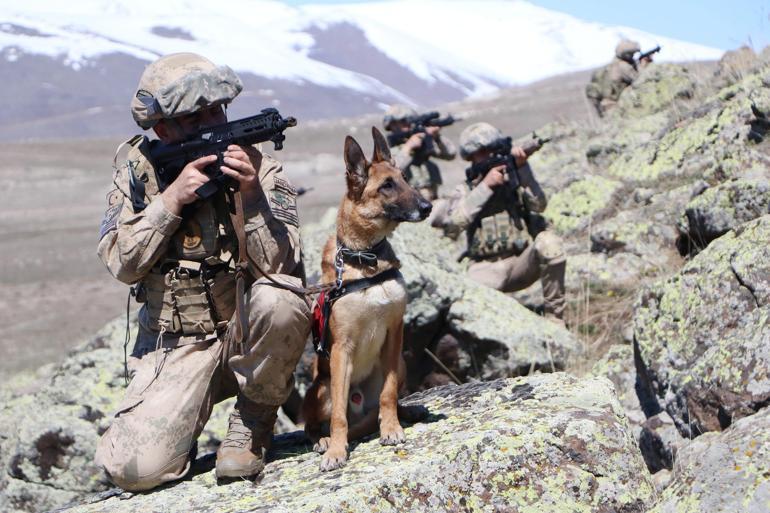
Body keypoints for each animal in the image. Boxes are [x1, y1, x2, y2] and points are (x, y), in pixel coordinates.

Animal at [300, 127, 432, 468]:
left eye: (405, 178)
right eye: (386, 186)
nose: (428, 206)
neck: (366, 259)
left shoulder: (395, 332)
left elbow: (389, 394)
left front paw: (391, 427)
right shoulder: (341, 348)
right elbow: (339, 417)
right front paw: (336, 449)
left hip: (400, 362)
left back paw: (406, 411)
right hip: (319, 389)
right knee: (315, 422)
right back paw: (322, 440)